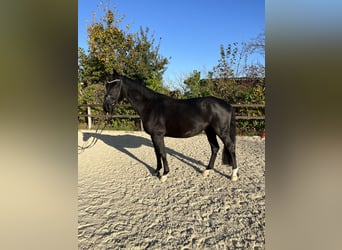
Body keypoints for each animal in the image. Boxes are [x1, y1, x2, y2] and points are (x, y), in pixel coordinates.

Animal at [103, 70, 239, 182]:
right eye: (106, 85)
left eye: (116, 85)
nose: (106, 106)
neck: (150, 105)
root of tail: (226, 104)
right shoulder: (153, 136)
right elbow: (157, 152)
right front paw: (157, 171)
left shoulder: (158, 135)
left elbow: (162, 153)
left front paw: (164, 175)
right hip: (209, 131)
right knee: (215, 148)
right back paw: (207, 171)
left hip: (221, 131)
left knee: (230, 147)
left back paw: (233, 175)